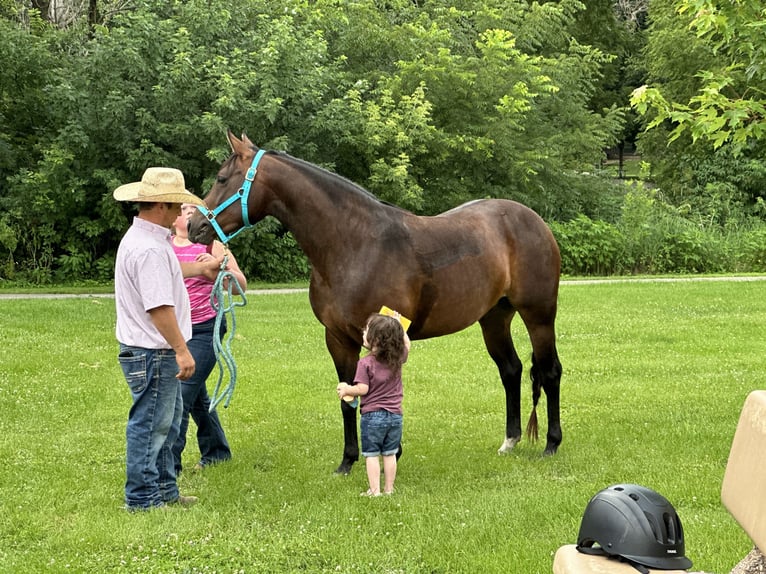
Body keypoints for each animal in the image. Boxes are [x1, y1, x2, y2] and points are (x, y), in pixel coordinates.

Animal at [189, 132, 564, 476]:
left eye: (222, 178)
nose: (194, 225)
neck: (354, 244)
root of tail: (533, 220)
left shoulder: (384, 335)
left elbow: (383, 394)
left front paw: (389, 456)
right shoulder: (338, 339)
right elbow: (348, 398)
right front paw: (348, 461)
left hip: (539, 316)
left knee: (550, 371)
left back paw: (551, 444)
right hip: (494, 318)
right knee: (511, 370)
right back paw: (510, 441)